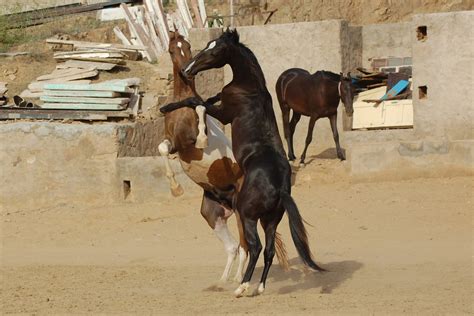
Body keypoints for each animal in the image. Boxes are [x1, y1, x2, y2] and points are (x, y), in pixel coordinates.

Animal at [161, 29, 324, 296]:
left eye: (215, 50)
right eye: (206, 44)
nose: (188, 69)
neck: (250, 88)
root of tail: (279, 187)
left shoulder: (221, 114)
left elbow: (197, 104)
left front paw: (173, 110)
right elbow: (203, 101)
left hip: (246, 215)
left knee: (252, 247)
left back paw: (241, 286)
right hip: (262, 220)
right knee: (264, 250)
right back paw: (253, 287)